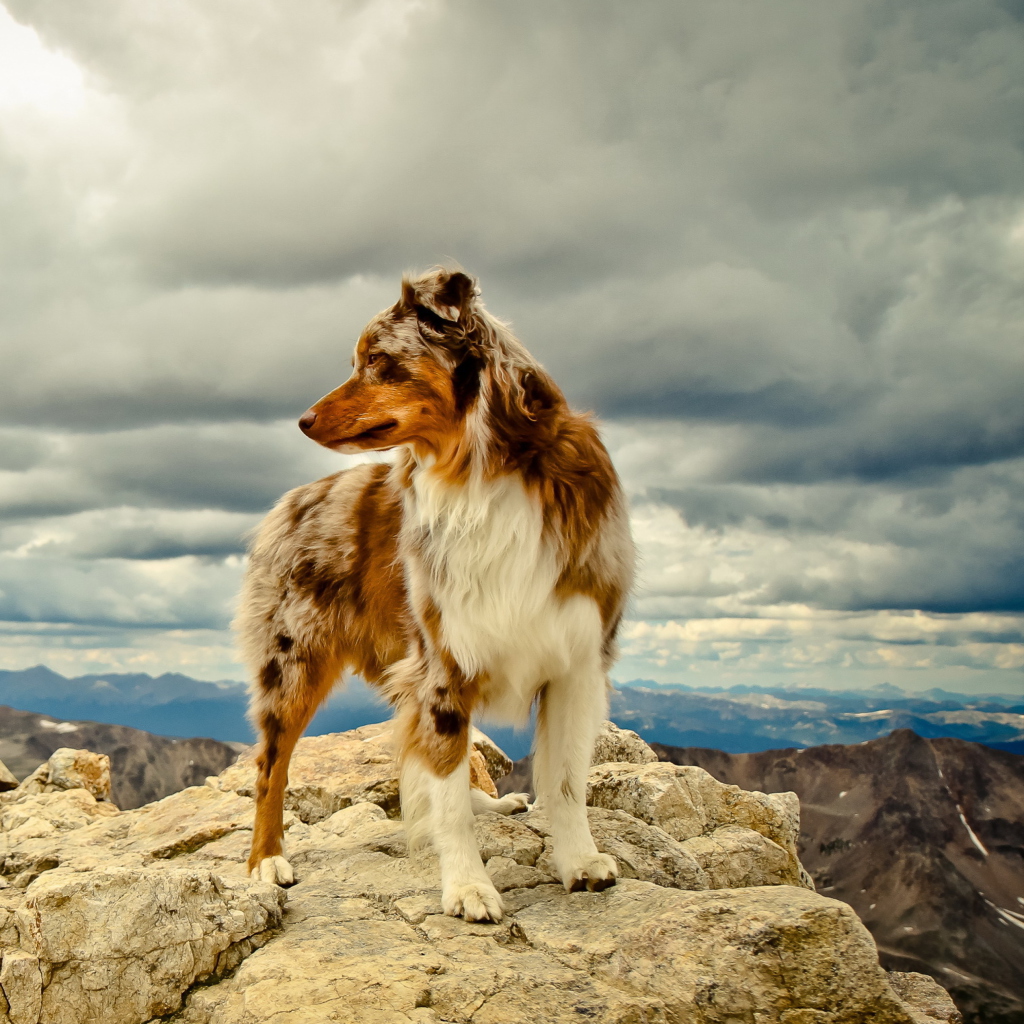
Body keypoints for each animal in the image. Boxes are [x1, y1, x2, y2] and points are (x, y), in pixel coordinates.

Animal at [236, 266, 634, 921]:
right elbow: (445, 792)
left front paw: (579, 862)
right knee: (272, 766)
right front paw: (469, 888)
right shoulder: (443, 663)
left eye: (377, 360)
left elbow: (566, 781)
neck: (484, 472)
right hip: (294, 662)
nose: (302, 420)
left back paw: (491, 804)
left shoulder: (575, 660)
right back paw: (265, 860)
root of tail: (292, 500)